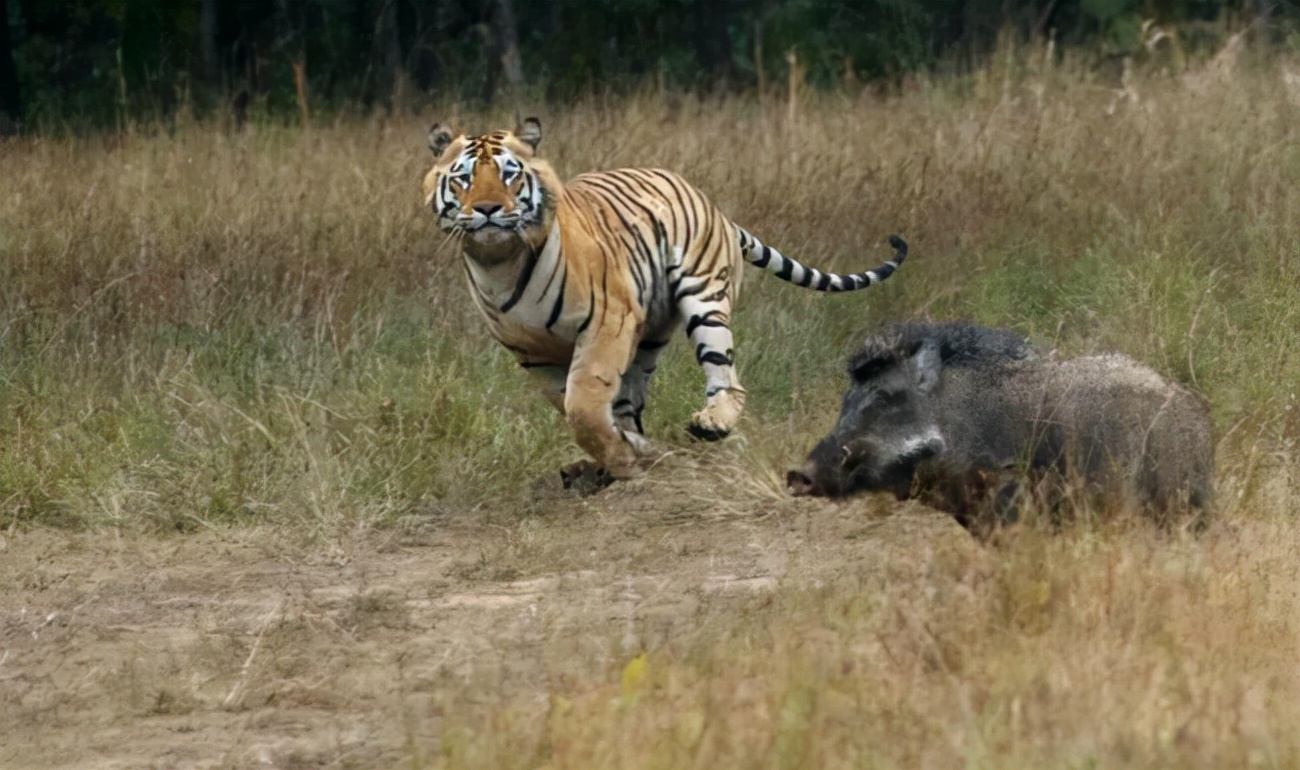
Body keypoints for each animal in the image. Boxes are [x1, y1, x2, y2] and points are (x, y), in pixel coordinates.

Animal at [421, 115, 909, 486]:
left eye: (510, 173)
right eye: (464, 178)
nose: (487, 209)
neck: (499, 263)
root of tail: (712, 205)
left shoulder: (607, 323)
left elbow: (584, 407)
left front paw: (623, 462)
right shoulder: (534, 357)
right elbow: (582, 409)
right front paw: (627, 454)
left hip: (703, 299)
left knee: (725, 375)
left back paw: (712, 423)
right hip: (650, 333)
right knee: (631, 400)